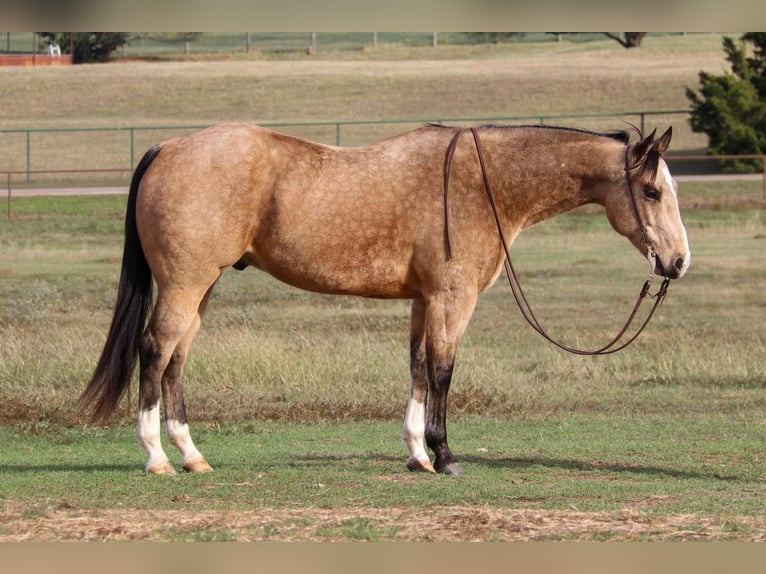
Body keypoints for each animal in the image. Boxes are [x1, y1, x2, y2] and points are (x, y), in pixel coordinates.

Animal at [81, 124, 692, 480]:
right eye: (652, 192)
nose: (679, 261)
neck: (485, 183)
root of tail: (168, 147)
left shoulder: (423, 302)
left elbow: (419, 369)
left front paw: (417, 454)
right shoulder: (451, 299)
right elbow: (444, 372)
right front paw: (445, 456)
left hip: (200, 289)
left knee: (176, 359)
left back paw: (191, 455)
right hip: (184, 285)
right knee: (154, 351)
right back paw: (157, 457)